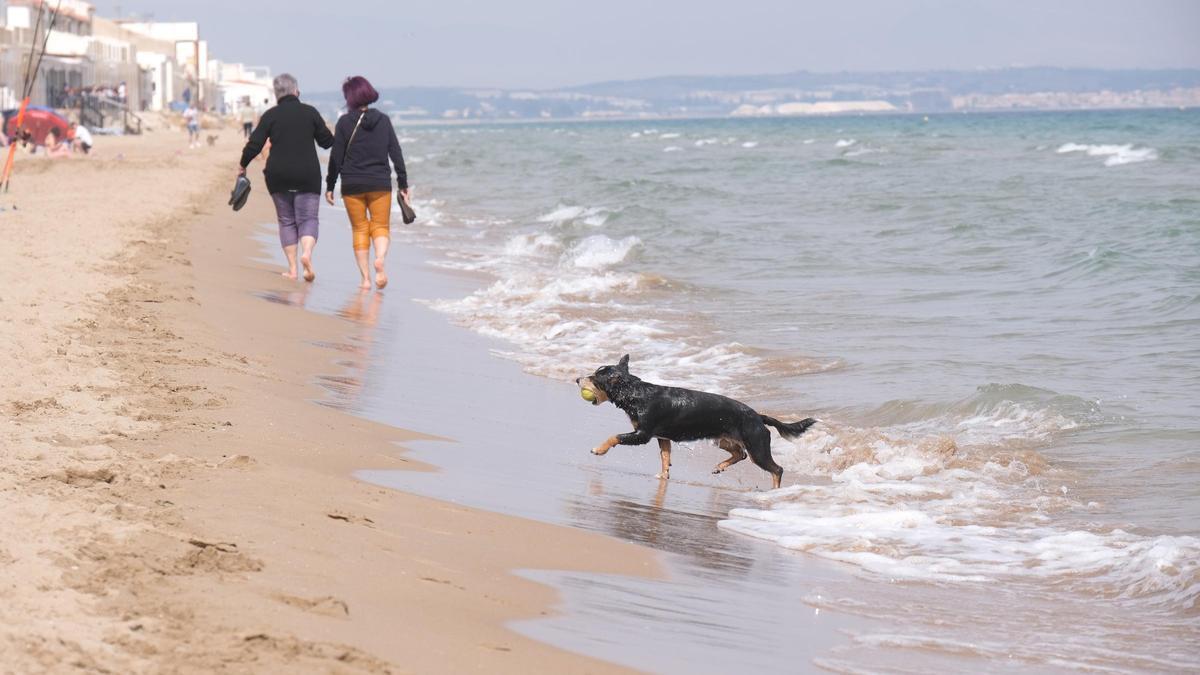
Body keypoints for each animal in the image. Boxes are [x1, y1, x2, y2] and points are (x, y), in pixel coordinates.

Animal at [573, 355, 816, 485]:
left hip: (757, 446)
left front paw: (598, 449)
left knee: (776, 469)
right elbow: (665, 457)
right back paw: (719, 467)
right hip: (724, 440)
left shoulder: (643, 434)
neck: (636, 393)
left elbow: (615, 436)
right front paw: (664, 476)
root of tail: (759, 416)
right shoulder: (662, 437)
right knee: (740, 454)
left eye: (594, 379)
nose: (576, 379)